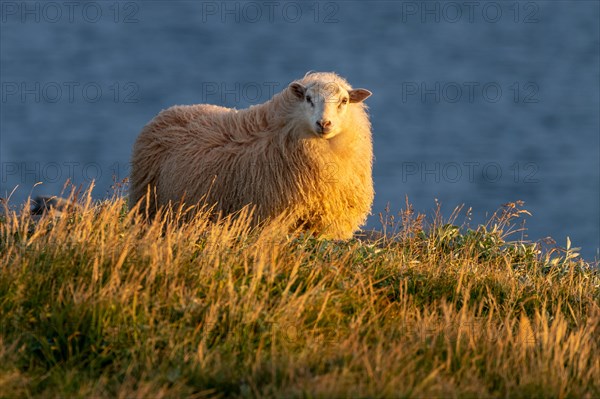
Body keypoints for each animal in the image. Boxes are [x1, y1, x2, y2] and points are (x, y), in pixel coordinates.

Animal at [131, 72, 372, 239]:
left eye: (344, 101)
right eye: (308, 98)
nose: (324, 123)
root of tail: (167, 112)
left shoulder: (331, 224)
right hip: (147, 202)